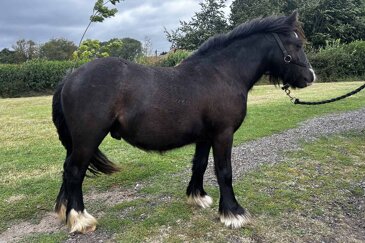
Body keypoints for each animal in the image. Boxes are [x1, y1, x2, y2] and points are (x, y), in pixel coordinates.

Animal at [52, 11, 314, 234]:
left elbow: (200, 164)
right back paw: (81, 219)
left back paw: (66, 213)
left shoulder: (206, 136)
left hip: (78, 141)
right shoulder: (223, 134)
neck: (222, 74)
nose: (310, 77)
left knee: (68, 169)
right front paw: (233, 213)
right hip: (88, 138)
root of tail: (69, 78)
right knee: (74, 171)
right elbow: (224, 171)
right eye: (297, 45)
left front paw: (197, 197)